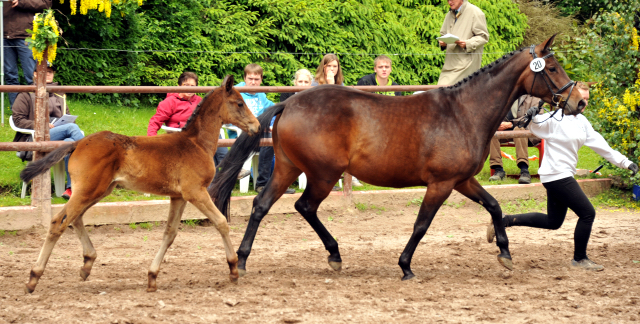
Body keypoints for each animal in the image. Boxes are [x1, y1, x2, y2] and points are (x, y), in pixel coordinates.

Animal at [20, 74, 260, 292]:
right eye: (240, 103)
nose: (256, 126)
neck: (196, 143)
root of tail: (78, 143)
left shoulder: (178, 196)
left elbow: (170, 233)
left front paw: (152, 277)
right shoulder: (196, 192)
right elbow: (221, 222)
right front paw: (233, 269)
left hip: (98, 191)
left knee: (75, 218)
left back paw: (87, 264)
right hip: (89, 191)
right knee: (58, 221)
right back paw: (33, 277)